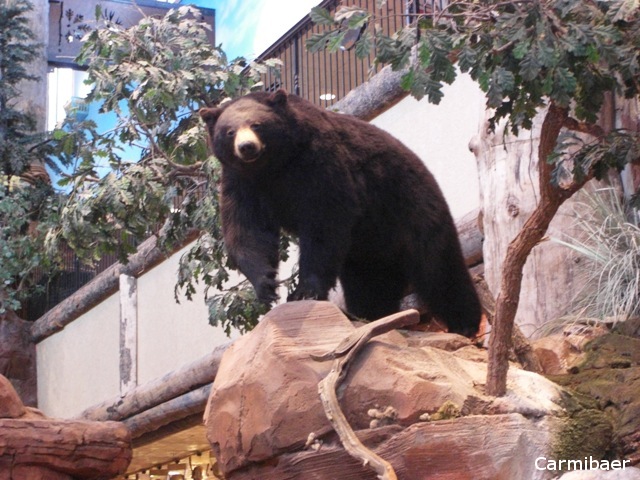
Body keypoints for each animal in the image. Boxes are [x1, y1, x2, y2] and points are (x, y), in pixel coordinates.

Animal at [200, 89, 481, 337]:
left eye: (257, 124)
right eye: (229, 131)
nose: (247, 147)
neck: (276, 166)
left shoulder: (320, 163)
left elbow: (324, 222)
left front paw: (304, 291)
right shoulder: (242, 184)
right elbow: (246, 232)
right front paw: (266, 284)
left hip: (409, 208)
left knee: (438, 267)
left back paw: (466, 323)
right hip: (368, 251)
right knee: (369, 285)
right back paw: (371, 316)